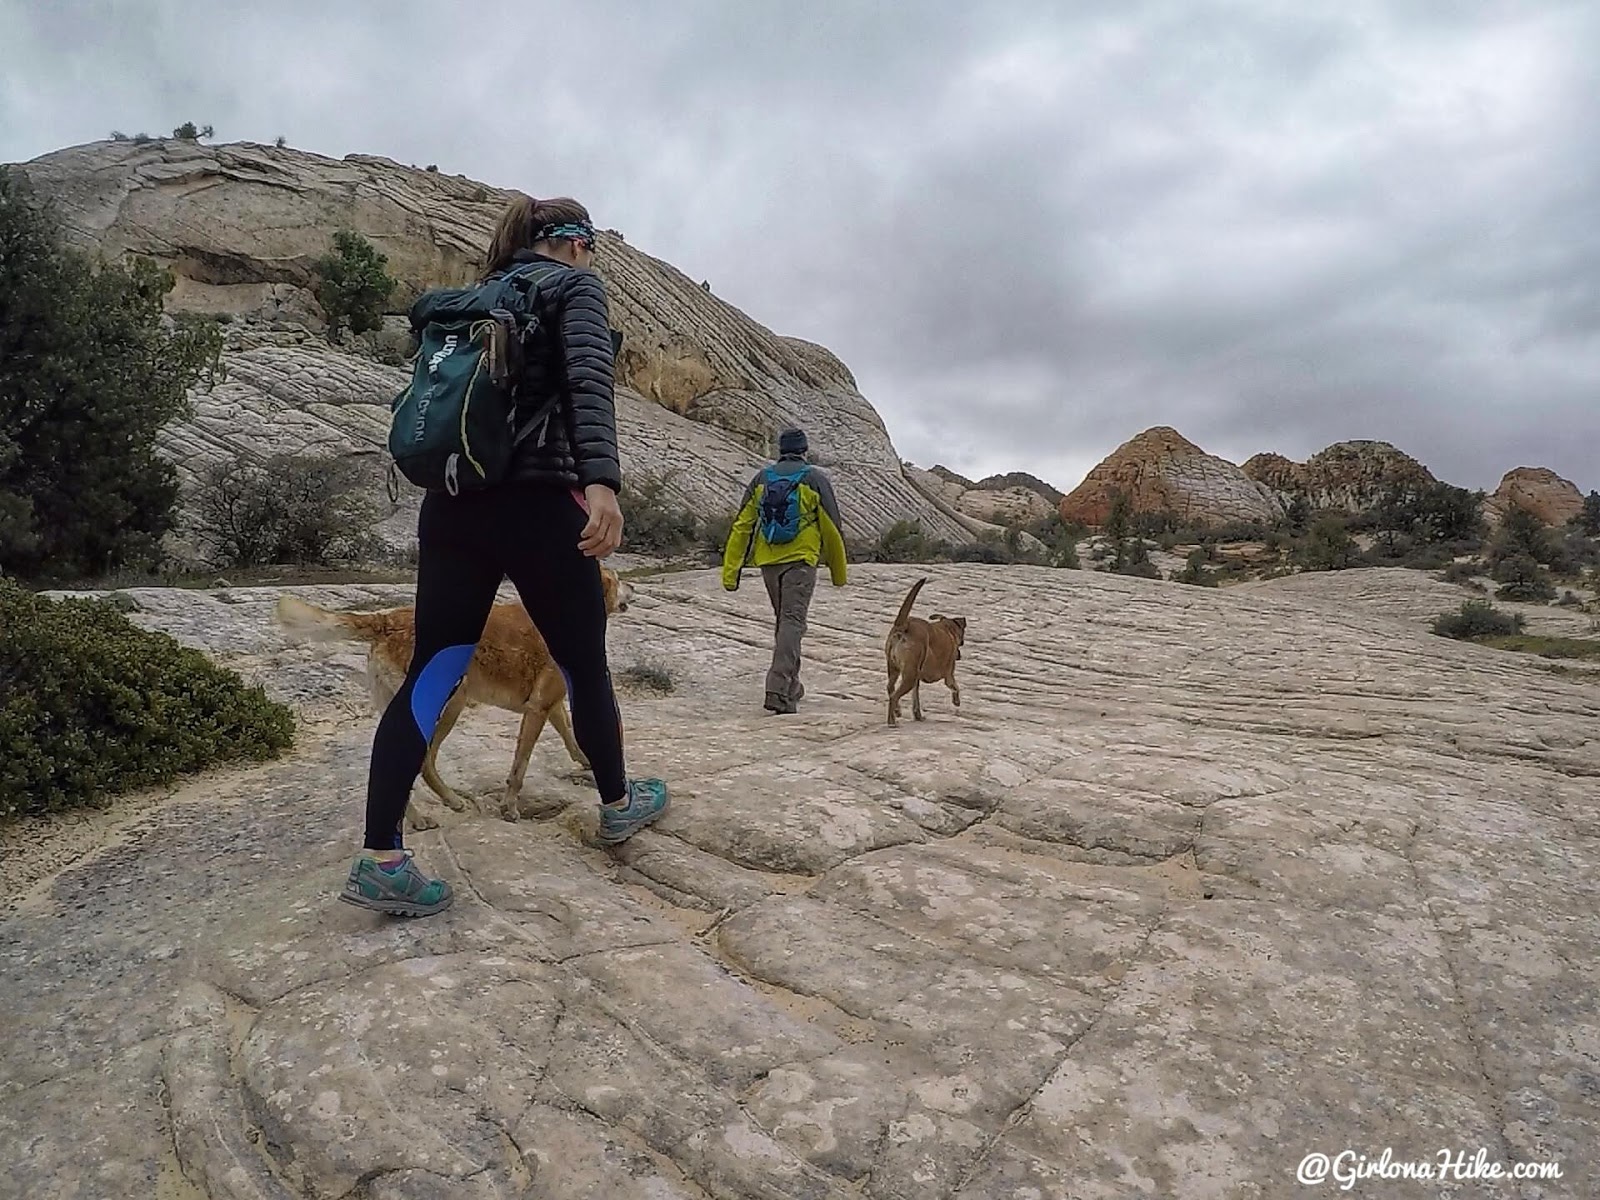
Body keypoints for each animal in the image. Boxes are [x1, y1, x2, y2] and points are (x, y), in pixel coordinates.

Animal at [275, 569, 630, 832]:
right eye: (616, 579)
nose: (632, 588)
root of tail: (386, 620)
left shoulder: (549, 706)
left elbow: (569, 734)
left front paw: (585, 759)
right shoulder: (538, 709)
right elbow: (520, 768)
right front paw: (509, 808)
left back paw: (418, 817)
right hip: (449, 706)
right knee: (424, 762)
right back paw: (449, 801)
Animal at [883, 579, 966, 729]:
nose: (959, 654)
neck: (947, 628)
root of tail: (904, 625)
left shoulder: (916, 679)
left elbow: (916, 700)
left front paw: (918, 716)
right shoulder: (949, 675)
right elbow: (955, 687)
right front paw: (956, 701)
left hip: (894, 669)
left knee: (890, 688)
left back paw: (897, 711)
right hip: (909, 676)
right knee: (894, 696)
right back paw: (892, 722)